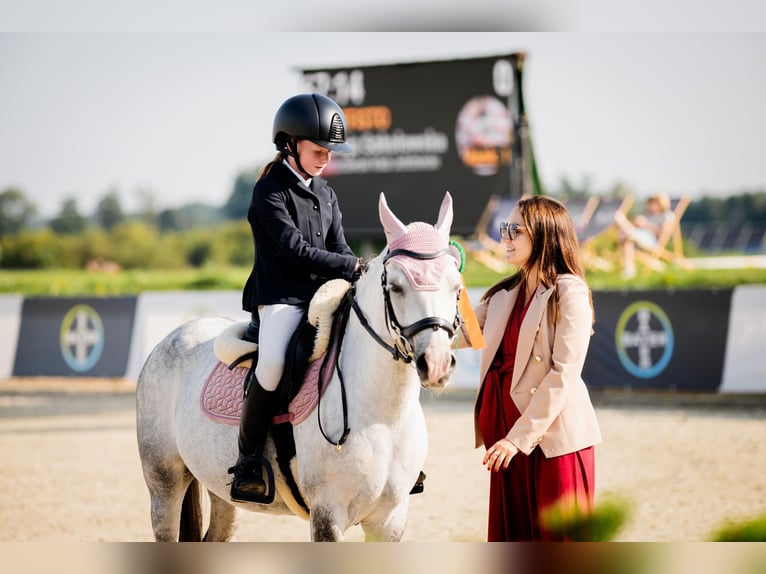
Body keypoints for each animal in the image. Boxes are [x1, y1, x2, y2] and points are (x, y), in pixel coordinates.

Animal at [135, 194, 464, 544]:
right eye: (397, 287)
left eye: (456, 287)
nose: (436, 364)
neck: (384, 416)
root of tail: (175, 334)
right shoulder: (327, 514)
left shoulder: (389, 520)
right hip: (164, 481)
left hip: (219, 491)